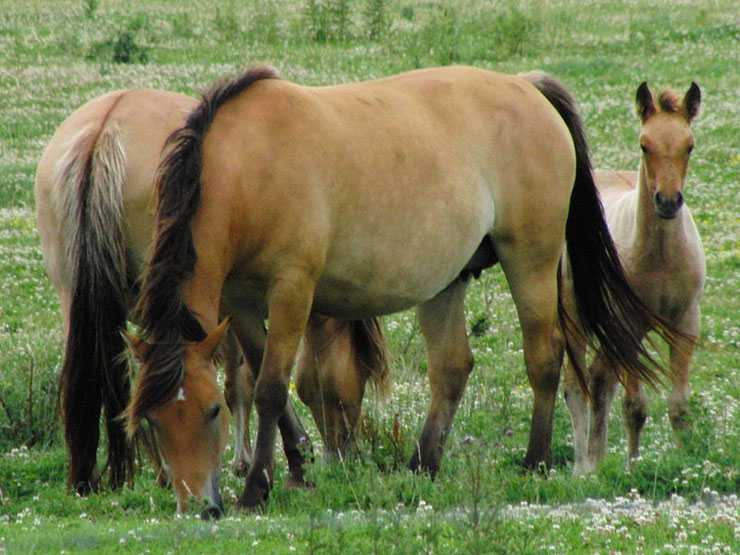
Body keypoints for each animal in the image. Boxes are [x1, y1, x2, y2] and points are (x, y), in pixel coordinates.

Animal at [33, 90, 388, 504]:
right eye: (360, 376)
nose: (344, 454)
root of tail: (105, 128)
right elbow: (243, 381)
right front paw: (259, 458)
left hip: (79, 304)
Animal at [127, 67, 672, 516]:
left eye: (212, 411)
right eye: (152, 420)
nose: (198, 507)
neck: (249, 168)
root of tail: (525, 86)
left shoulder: (292, 291)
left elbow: (269, 389)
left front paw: (257, 488)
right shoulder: (238, 302)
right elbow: (270, 380)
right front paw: (299, 466)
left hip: (529, 261)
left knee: (544, 355)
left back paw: (534, 460)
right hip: (448, 282)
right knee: (451, 368)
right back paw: (423, 462)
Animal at [564, 82, 704, 474]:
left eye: (689, 145)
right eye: (645, 145)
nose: (668, 202)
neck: (661, 256)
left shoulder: (685, 323)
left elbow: (679, 405)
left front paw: (686, 462)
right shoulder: (627, 324)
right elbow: (635, 407)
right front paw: (633, 465)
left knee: (600, 379)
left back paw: (596, 459)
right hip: (575, 316)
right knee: (576, 384)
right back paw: (583, 466)